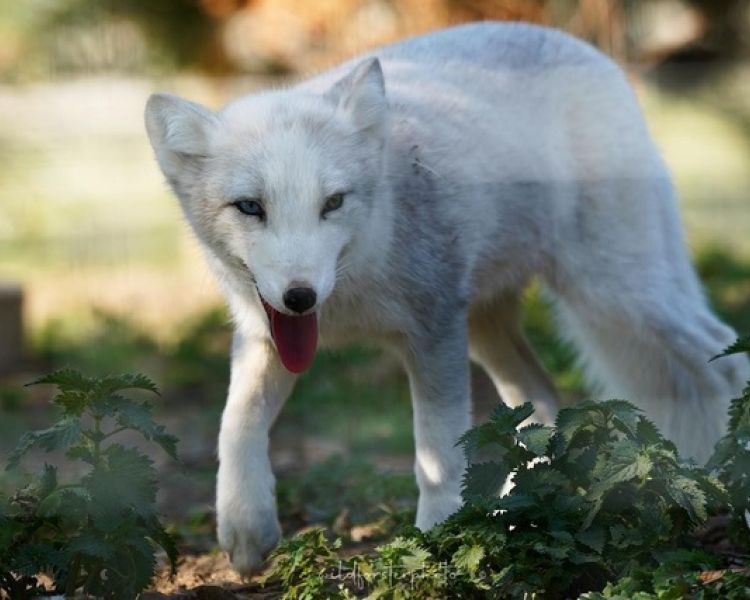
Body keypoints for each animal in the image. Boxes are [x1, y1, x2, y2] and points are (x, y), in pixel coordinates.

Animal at [144, 22, 750, 574]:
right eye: (250, 207)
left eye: (333, 202)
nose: (300, 296)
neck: (352, 293)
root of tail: (586, 50)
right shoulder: (264, 335)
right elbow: (235, 425)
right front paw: (245, 529)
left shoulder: (433, 330)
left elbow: (435, 453)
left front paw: (437, 540)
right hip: (488, 327)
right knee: (542, 399)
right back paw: (511, 518)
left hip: (616, 294)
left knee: (723, 356)